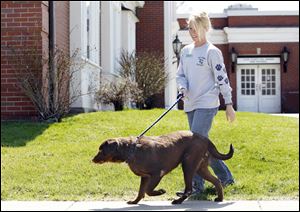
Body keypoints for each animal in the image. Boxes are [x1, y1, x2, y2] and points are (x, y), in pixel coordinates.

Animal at [92, 130, 233, 205]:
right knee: (216, 181)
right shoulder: (145, 177)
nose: (92, 159)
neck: (131, 150)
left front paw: (160, 192)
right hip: (200, 167)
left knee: (189, 189)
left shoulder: (157, 174)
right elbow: (141, 191)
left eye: (101, 150)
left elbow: (148, 190)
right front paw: (134, 202)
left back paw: (178, 201)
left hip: (188, 165)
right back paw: (219, 198)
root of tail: (205, 139)